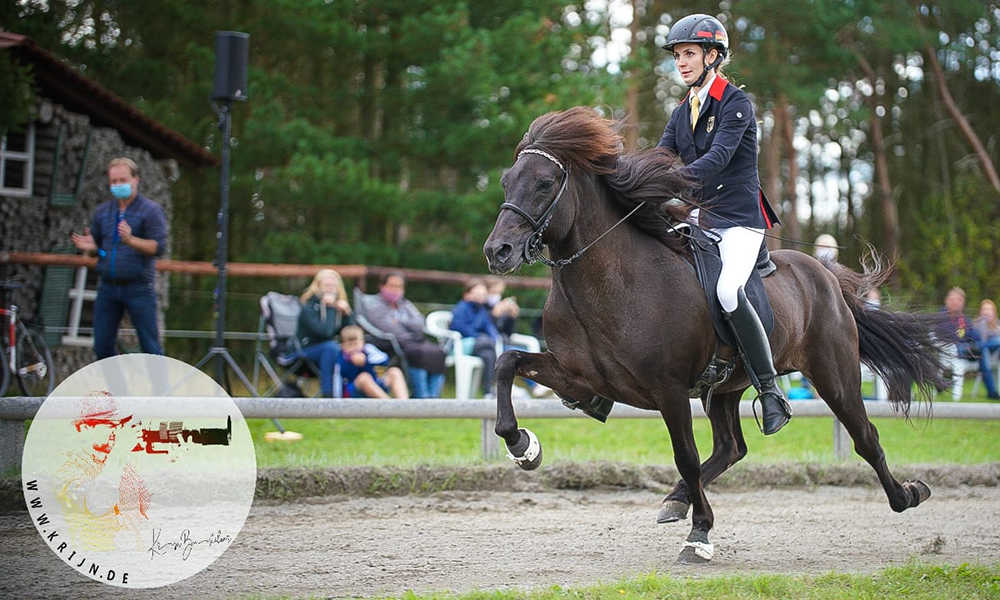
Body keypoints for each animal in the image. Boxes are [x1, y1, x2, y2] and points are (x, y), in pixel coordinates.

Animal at [480, 106, 948, 564]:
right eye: (506, 180)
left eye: (544, 184)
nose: (497, 252)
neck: (609, 281)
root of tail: (827, 276)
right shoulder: (579, 377)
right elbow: (507, 363)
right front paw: (523, 446)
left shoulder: (668, 389)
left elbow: (684, 456)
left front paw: (699, 534)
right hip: (726, 387)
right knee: (731, 447)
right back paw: (675, 500)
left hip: (835, 376)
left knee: (865, 438)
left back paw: (908, 494)